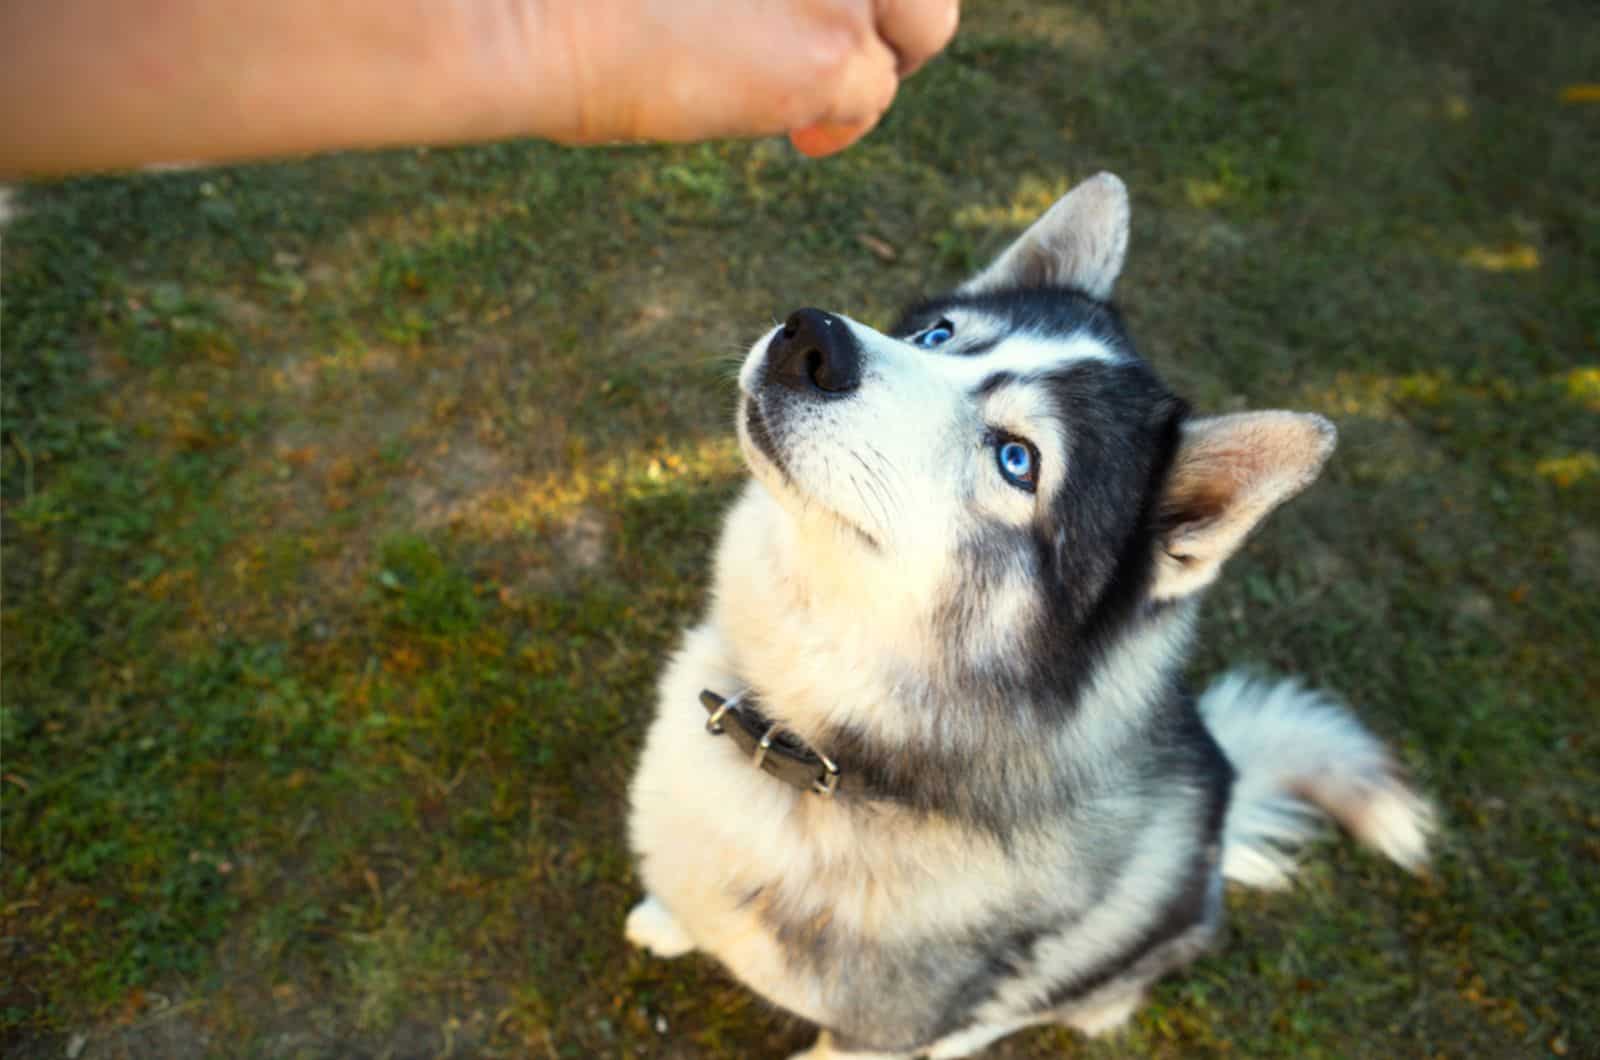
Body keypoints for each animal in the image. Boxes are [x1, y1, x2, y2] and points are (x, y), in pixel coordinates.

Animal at [617, 170, 1433, 1056]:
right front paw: (668, 919)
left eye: (1018, 460)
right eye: (937, 334)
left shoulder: (874, 1035)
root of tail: (1229, 783)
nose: (812, 339)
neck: (810, 750)